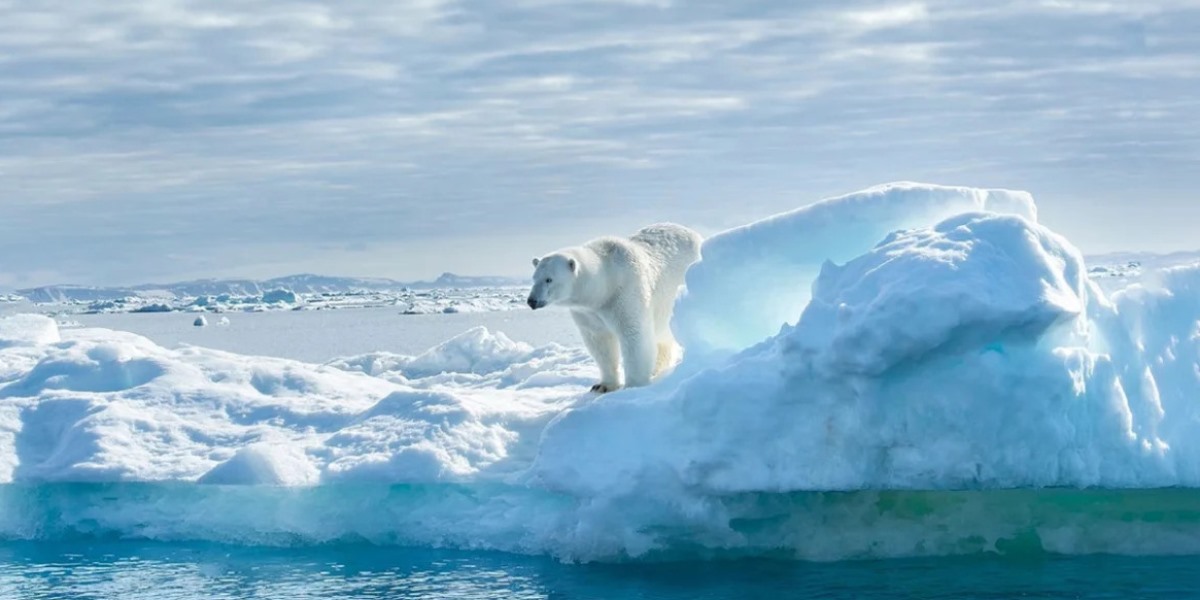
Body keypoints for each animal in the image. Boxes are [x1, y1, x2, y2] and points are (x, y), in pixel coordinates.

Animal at [528, 223, 700, 391]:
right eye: (534, 278)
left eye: (549, 279)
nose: (532, 301)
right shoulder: (587, 312)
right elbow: (600, 342)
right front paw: (603, 385)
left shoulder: (625, 293)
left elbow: (633, 336)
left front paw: (633, 384)